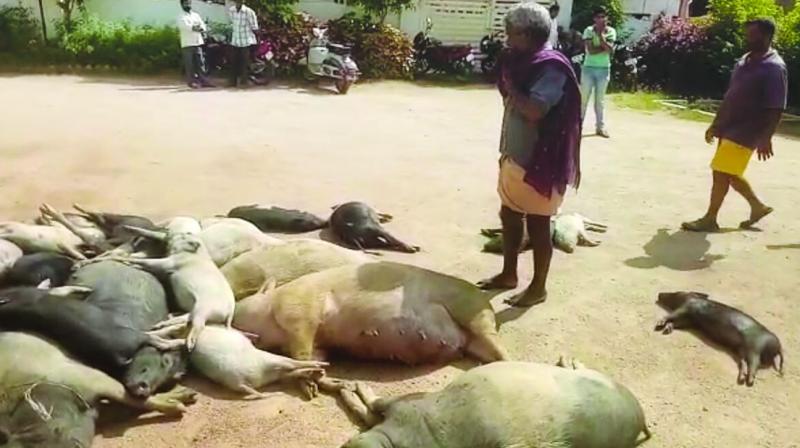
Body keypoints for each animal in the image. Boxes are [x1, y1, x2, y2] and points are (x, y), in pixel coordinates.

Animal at [233, 260, 506, 366]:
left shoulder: (300, 308)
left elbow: (302, 345)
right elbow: (316, 352)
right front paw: (321, 365)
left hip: (472, 313)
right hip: (473, 339)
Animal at [338, 358, 648, 448]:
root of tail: (641, 416)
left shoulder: (410, 404)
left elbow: (374, 403)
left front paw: (354, 387)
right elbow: (368, 411)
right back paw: (565, 360)